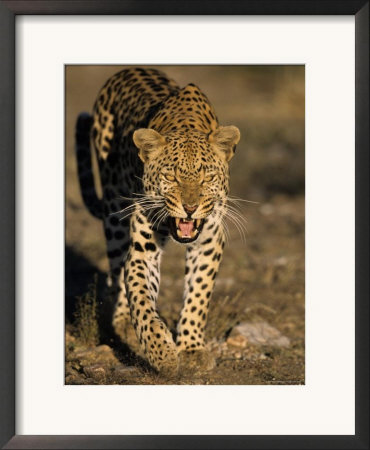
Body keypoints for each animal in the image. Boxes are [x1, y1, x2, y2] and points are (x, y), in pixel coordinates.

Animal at [76, 67, 240, 374]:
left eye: (207, 177)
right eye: (171, 176)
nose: (190, 207)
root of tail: (127, 70)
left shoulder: (209, 239)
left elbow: (199, 293)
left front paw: (191, 349)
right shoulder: (144, 249)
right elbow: (140, 296)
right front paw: (161, 353)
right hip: (115, 214)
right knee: (118, 272)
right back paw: (123, 323)